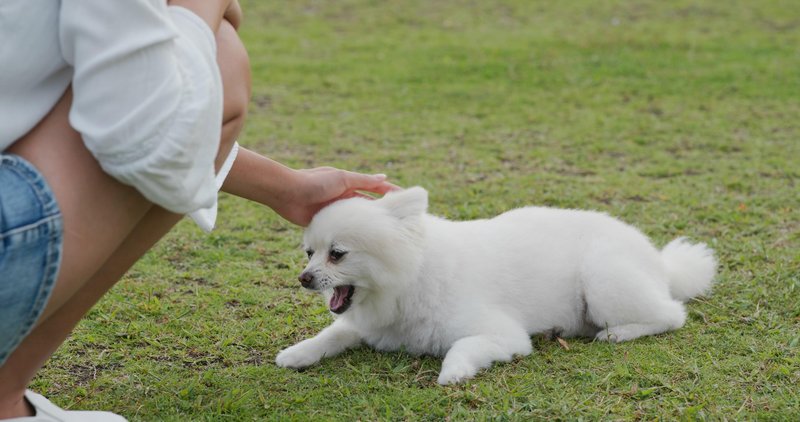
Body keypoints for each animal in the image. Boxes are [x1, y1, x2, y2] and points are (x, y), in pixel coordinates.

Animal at [276, 186, 720, 384]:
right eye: (309, 253)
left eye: (337, 254)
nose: (304, 278)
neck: (410, 279)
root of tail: (659, 261)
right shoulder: (364, 324)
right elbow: (333, 333)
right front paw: (298, 353)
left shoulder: (503, 335)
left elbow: (462, 346)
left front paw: (453, 372)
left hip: (602, 278)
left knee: (671, 314)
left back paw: (620, 332)